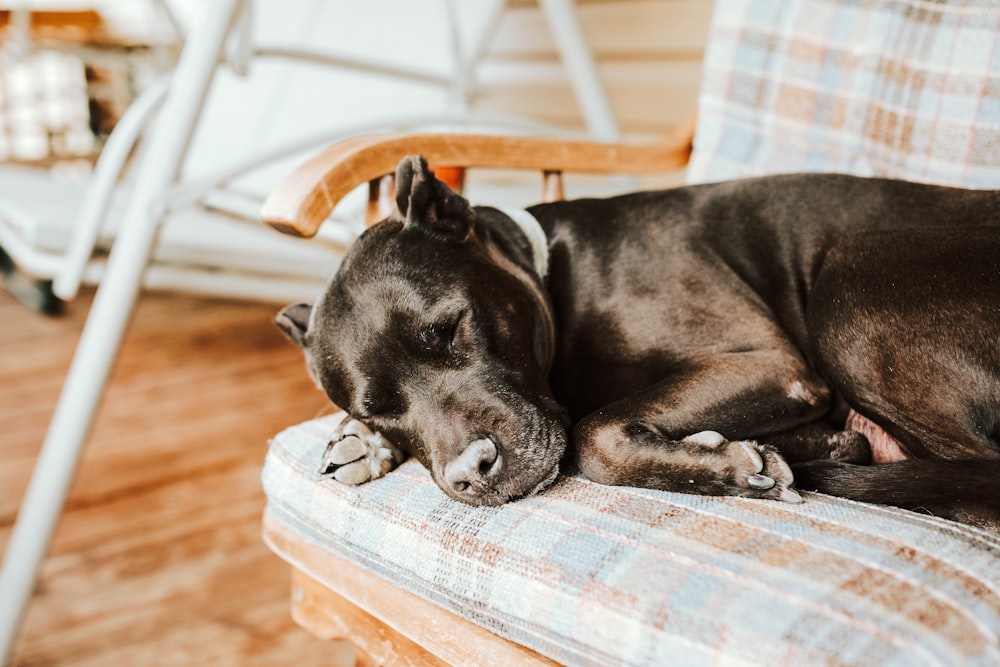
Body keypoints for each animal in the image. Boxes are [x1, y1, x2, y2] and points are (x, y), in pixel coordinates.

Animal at [276, 157, 1000, 532]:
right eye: (377, 408)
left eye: (451, 326)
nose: (469, 474)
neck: (554, 274)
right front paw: (359, 442)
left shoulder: (771, 364)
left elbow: (594, 435)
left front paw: (732, 467)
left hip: (851, 280)